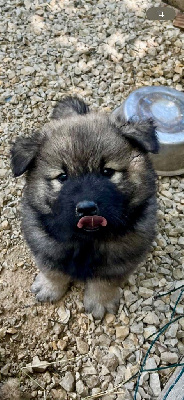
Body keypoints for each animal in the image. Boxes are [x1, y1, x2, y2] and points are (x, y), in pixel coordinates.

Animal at [10, 96, 159, 318]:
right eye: (62, 177)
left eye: (107, 172)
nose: (87, 209)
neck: (86, 240)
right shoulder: (46, 244)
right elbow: (52, 270)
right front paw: (48, 288)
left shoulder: (121, 255)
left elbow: (105, 280)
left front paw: (100, 302)